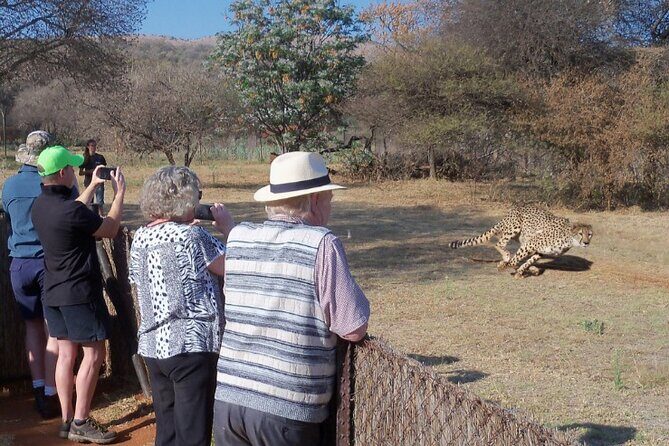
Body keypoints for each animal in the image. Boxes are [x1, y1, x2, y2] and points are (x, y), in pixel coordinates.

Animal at [449, 204, 593, 278]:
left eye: (590, 234)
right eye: (581, 234)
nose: (586, 243)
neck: (569, 238)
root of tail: (514, 208)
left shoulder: (539, 251)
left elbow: (528, 261)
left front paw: (521, 271)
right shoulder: (532, 243)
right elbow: (515, 260)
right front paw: (507, 266)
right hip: (515, 227)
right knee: (499, 244)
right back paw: (506, 258)